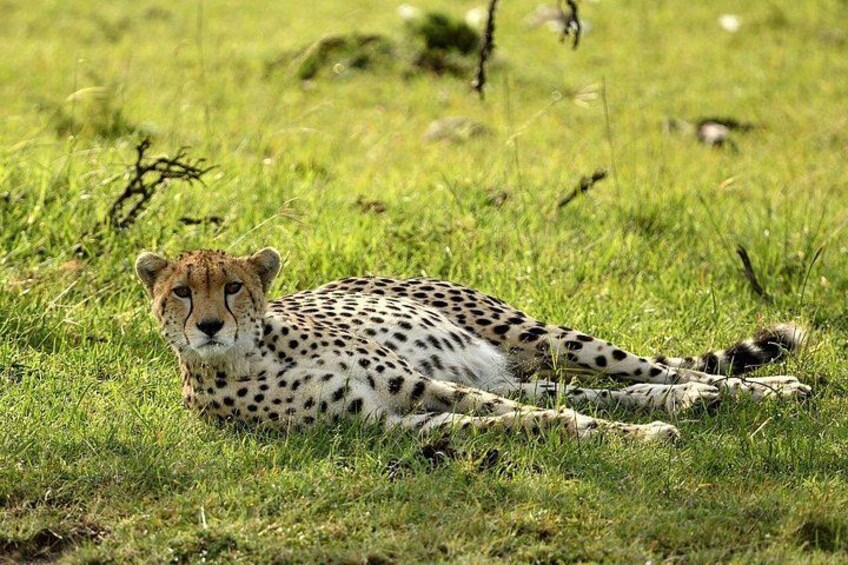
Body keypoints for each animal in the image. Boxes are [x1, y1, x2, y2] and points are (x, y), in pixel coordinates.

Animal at [135, 247, 811, 443]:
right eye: (181, 293)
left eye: (232, 287)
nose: (210, 327)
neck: (252, 352)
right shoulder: (380, 421)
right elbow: (514, 420)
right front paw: (621, 434)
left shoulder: (412, 381)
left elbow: (514, 414)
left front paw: (629, 436)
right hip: (508, 368)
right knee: (589, 391)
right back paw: (691, 404)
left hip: (537, 334)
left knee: (661, 368)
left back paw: (771, 389)